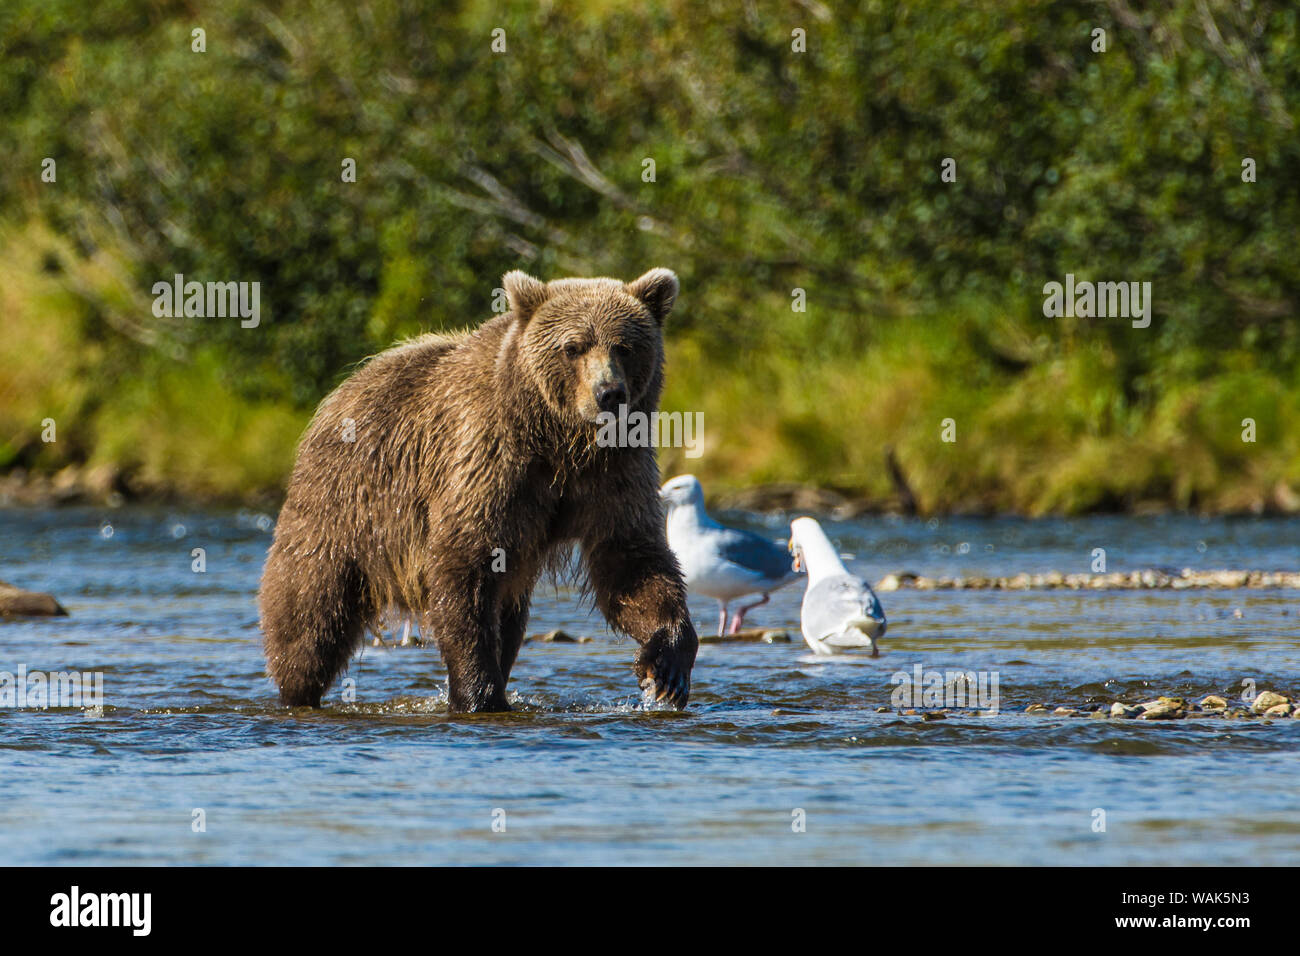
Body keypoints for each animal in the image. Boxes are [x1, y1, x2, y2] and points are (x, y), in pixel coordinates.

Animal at [256, 267, 702, 712]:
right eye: (573, 347)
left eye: (625, 346)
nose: (609, 393)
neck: (561, 443)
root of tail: (341, 391)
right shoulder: (490, 462)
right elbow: (466, 567)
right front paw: (478, 693)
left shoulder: (614, 474)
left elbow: (631, 562)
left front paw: (666, 667)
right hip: (344, 503)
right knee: (309, 608)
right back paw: (296, 688)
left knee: (510, 618)